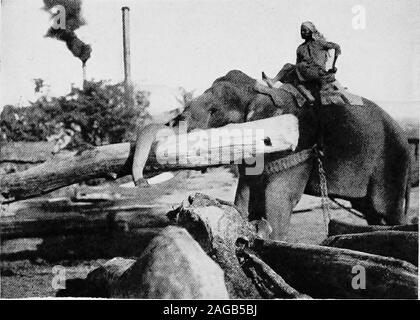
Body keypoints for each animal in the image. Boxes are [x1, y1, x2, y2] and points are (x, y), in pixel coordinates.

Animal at [134, 70, 410, 240]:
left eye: (214, 111)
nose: (142, 182)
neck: (259, 92)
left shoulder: (299, 144)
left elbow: (279, 197)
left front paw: (268, 238)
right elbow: (244, 193)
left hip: (391, 163)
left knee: (386, 212)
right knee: (371, 212)